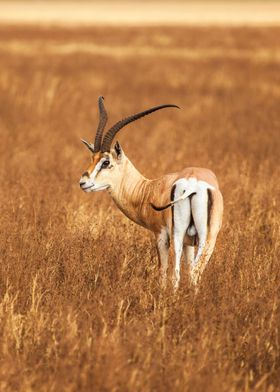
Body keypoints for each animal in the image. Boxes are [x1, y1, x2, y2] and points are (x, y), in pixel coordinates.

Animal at [79, 97, 223, 290]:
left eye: (106, 162)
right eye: (92, 159)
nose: (83, 182)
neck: (149, 190)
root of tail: (194, 184)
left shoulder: (161, 235)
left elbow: (162, 272)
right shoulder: (189, 243)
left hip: (178, 236)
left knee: (176, 274)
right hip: (208, 238)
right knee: (194, 273)